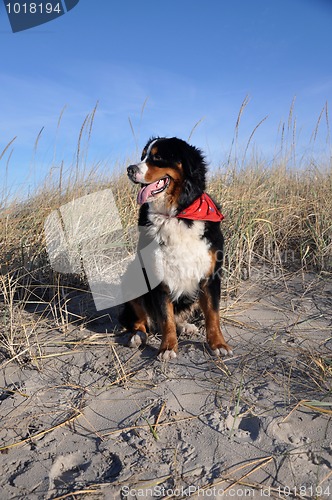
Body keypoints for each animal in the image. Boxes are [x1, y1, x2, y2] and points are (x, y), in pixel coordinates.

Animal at [120, 139, 233, 362]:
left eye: (157, 157)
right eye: (143, 156)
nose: (130, 169)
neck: (177, 215)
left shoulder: (210, 275)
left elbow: (213, 315)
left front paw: (218, 344)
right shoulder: (158, 277)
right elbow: (166, 318)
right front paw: (167, 347)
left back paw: (186, 326)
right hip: (132, 276)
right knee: (141, 319)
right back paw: (137, 336)